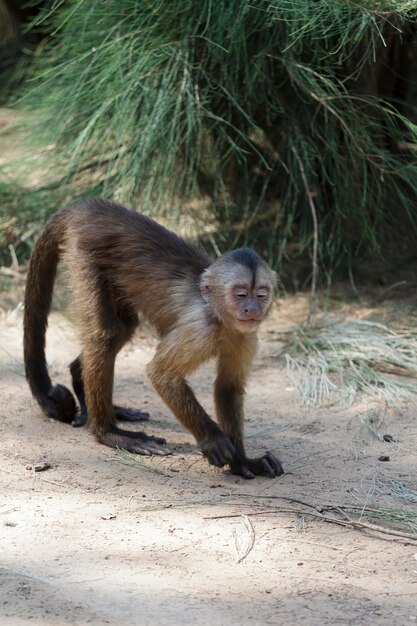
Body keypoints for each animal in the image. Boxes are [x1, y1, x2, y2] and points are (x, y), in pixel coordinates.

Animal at [23, 200, 282, 478]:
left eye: (261, 295)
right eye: (241, 294)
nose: (251, 309)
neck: (219, 318)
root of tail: (88, 206)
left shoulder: (245, 337)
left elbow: (227, 388)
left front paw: (242, 461)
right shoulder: (198, 329)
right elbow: (161, 375)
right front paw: (213, 440)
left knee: (124, 328)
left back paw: (87, 391)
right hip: (84, 252)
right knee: (107, 334)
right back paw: (109, 433)